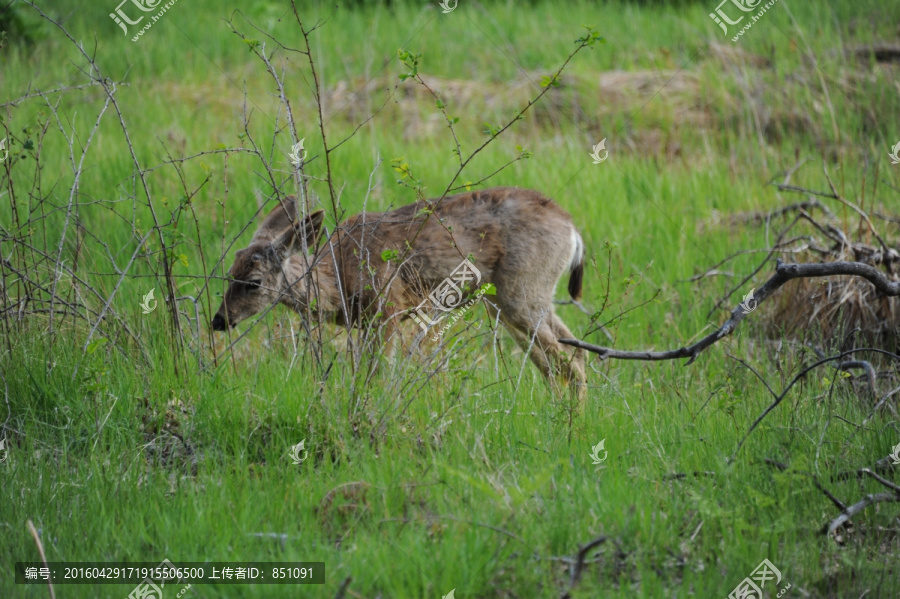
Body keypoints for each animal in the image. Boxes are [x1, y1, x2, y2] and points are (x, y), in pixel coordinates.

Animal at [212, 189, 592, 398]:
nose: (219, 320)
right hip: (516, 298)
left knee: (569, 365)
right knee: (569, 356)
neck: (339, 278)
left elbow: (379, 374)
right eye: (229, 273)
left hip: (521, 291)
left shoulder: (388, 307)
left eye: (254, 281)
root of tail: (573, 229)